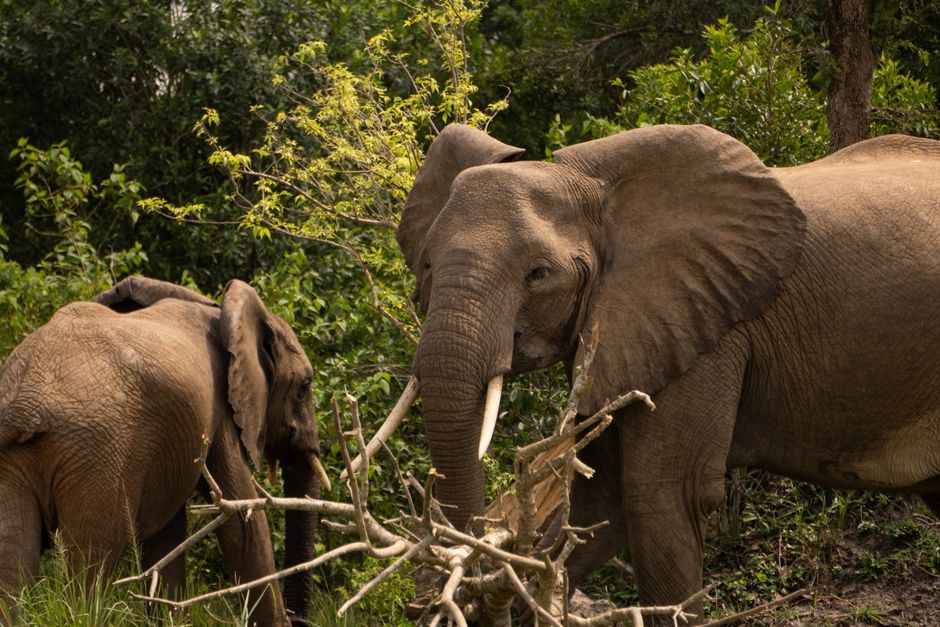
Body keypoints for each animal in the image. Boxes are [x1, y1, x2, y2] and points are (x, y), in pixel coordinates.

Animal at [0, 276, 330, 626]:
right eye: (304, 387)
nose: (300, 619)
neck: (223, 310)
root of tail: (24, 403)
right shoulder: (221, 412)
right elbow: (244, 523)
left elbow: (166, 536)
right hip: (98, 452)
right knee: (92, 560)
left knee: (13, 559)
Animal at [392, 122, 940, 620]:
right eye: (427, 266)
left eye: (538, 274)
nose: (438, 596)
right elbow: (603, 502)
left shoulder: (709, 329)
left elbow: (664, 497)